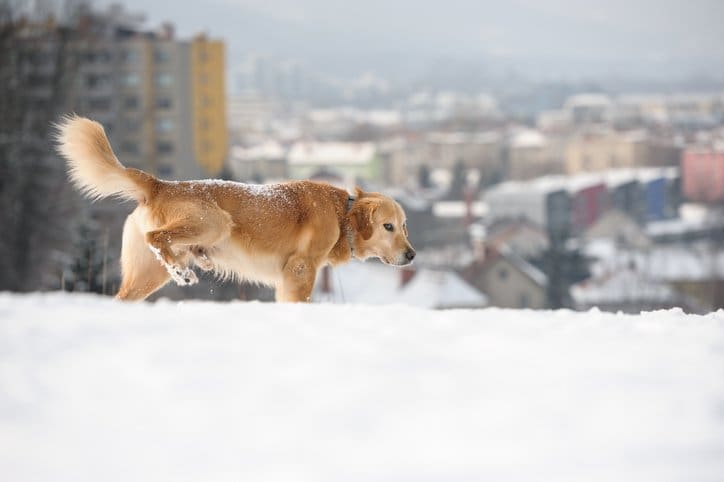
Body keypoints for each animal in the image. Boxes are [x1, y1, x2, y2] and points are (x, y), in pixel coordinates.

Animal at [53, 114, 416, 302]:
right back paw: (183, 270)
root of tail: (160, 184)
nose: (412, 255)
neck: (342, 213)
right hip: (214, 222)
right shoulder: (300, 269)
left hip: (147, 274)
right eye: (388, 226)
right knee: (156, 236)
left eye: (404, 226)